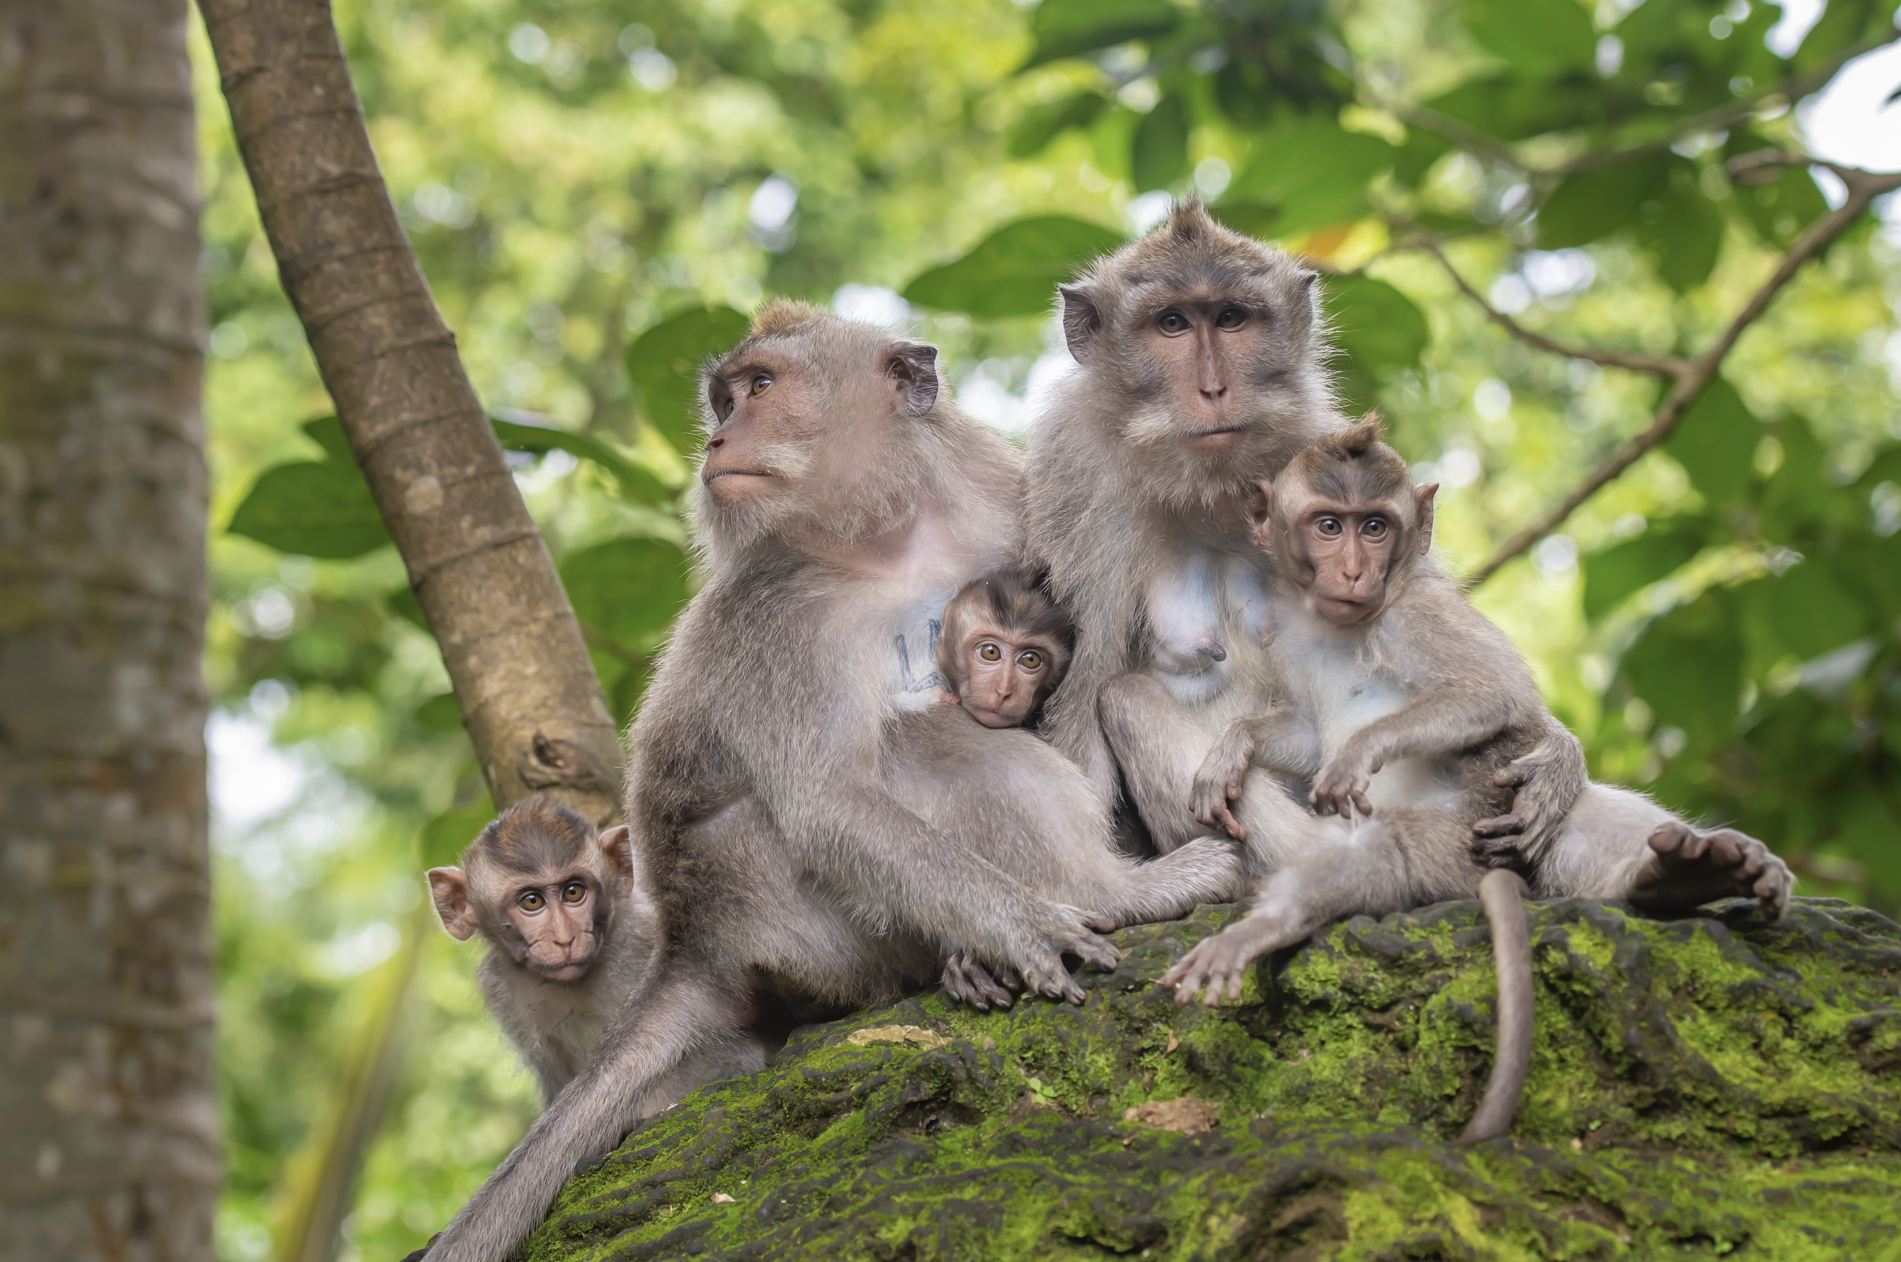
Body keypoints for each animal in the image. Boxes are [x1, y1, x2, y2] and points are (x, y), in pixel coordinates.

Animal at [1023, 199, 1587, 881]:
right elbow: (1081, 689)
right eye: (1172, 324)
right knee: (1126, 697)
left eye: (1232, 318)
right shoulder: (1078, 492)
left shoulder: (1317, 441)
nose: (1214, 389)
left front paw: (1556, 753)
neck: (1206, 490)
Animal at [1159, 421, 1795, 1139]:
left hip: (1467, 840)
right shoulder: (1283, 636)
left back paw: (1268, 924)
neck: (1340, 623)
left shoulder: (1420, 613)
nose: (1353, 570)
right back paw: (1678, 875)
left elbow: (1495, 697)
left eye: (1374, 527)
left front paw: (1360, 751)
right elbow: (1304, 733)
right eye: (1328, 525)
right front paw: (1232, 748)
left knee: (1394, 848)